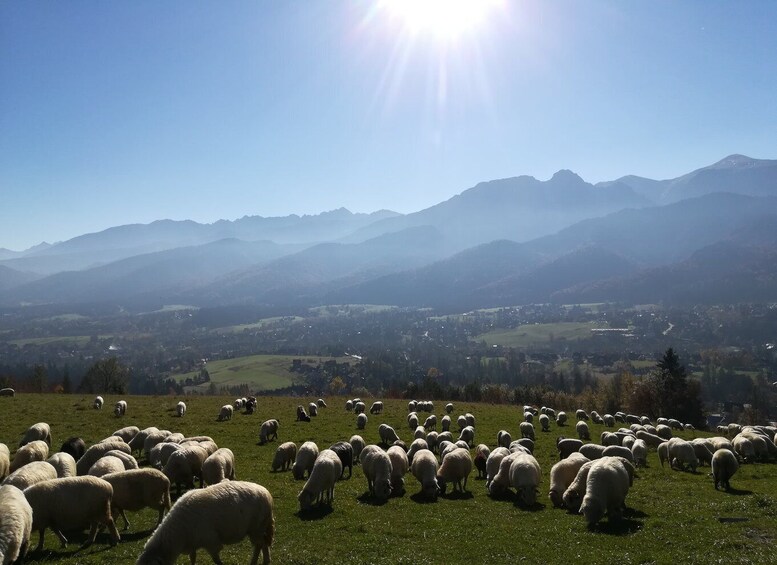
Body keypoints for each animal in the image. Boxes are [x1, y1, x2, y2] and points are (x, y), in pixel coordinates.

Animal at [136, 478, 272, 564]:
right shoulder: (193, 543)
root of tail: (266, 494)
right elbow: (192, 558)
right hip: (259, 528)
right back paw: (265, 560)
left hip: (256, 528)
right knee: (263, 544)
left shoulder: (211, 542)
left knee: (259, 545)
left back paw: (256, 561)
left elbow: (217, 561)